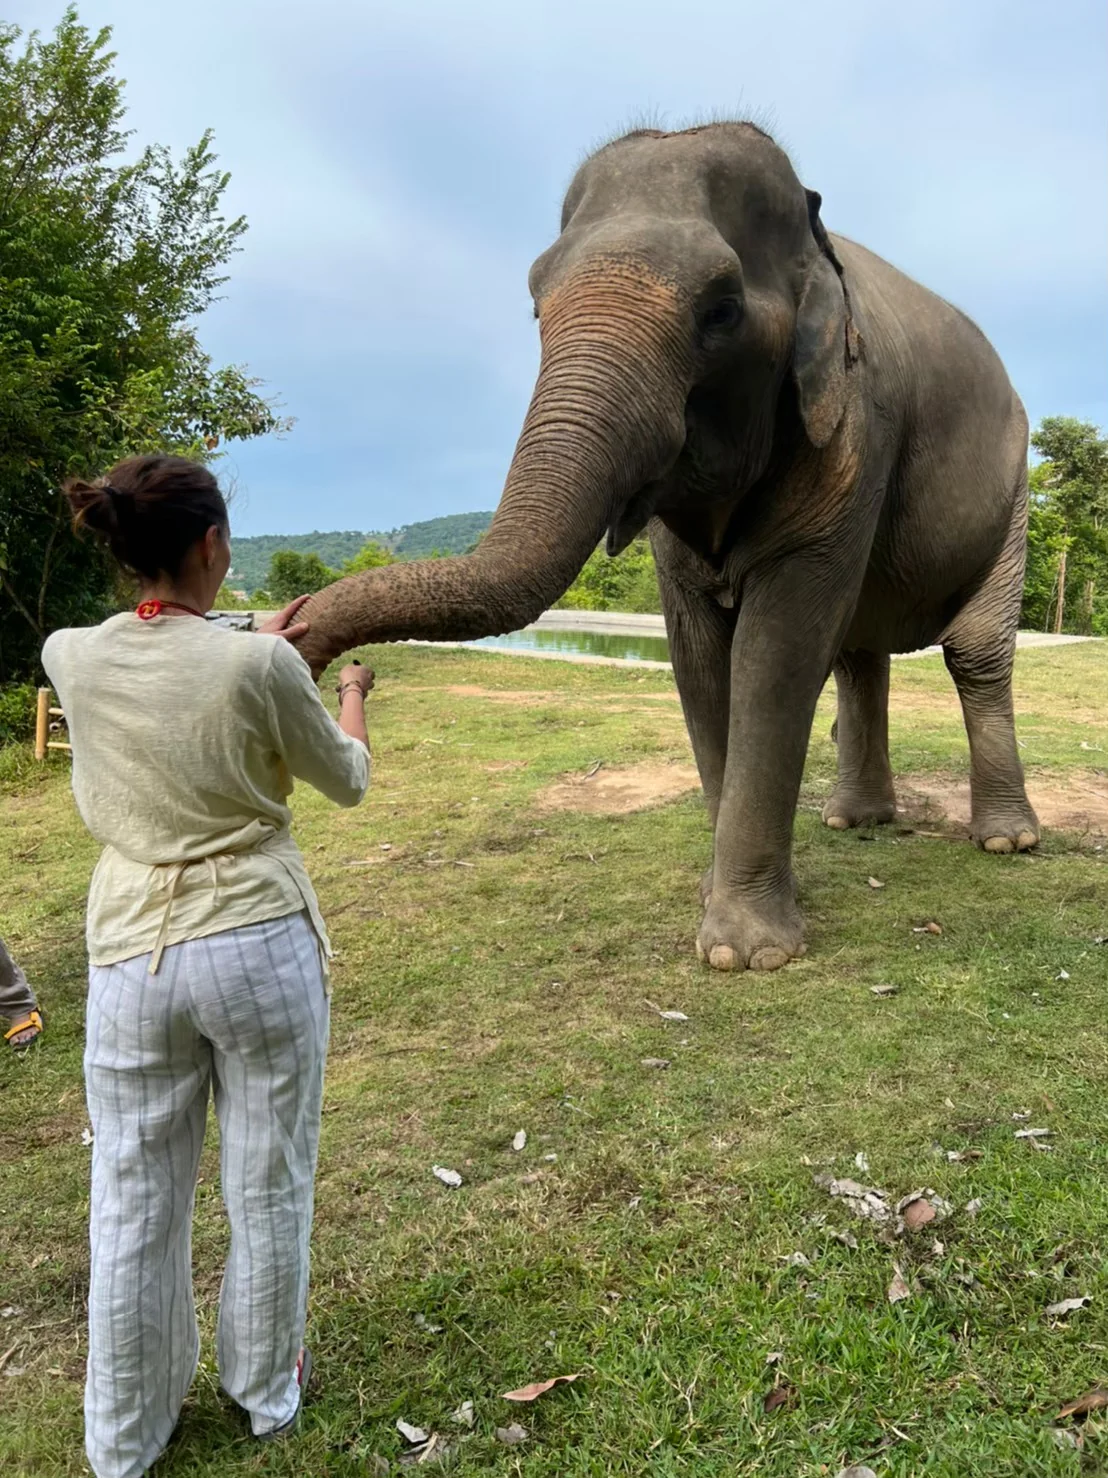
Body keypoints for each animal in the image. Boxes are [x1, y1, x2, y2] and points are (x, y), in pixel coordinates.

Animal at [297, 121, 1038, 973]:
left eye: (721, 311)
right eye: (535, 303)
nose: (313, 650)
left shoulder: (855, 428)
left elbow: (774, 654)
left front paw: (745, 954)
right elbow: (698, 657)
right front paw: (717, 907)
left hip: (1017, 486)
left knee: (973, 652)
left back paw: (1007, 843)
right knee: (859, 654)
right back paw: (854, 822)